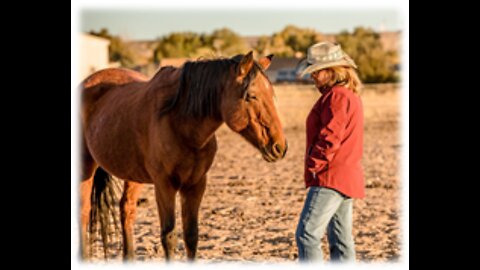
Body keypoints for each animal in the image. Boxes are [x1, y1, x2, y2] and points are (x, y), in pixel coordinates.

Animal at [79, 51, 288, 260]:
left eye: (271, 94)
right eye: (251, 96)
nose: (280, 147)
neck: (181, 124)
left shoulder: (195, 185)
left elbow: (191, 235)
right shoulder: (164, 186)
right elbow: (169, 236)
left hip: (133, 175)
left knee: (126, 209)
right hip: (86, 167)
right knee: (84, 212)